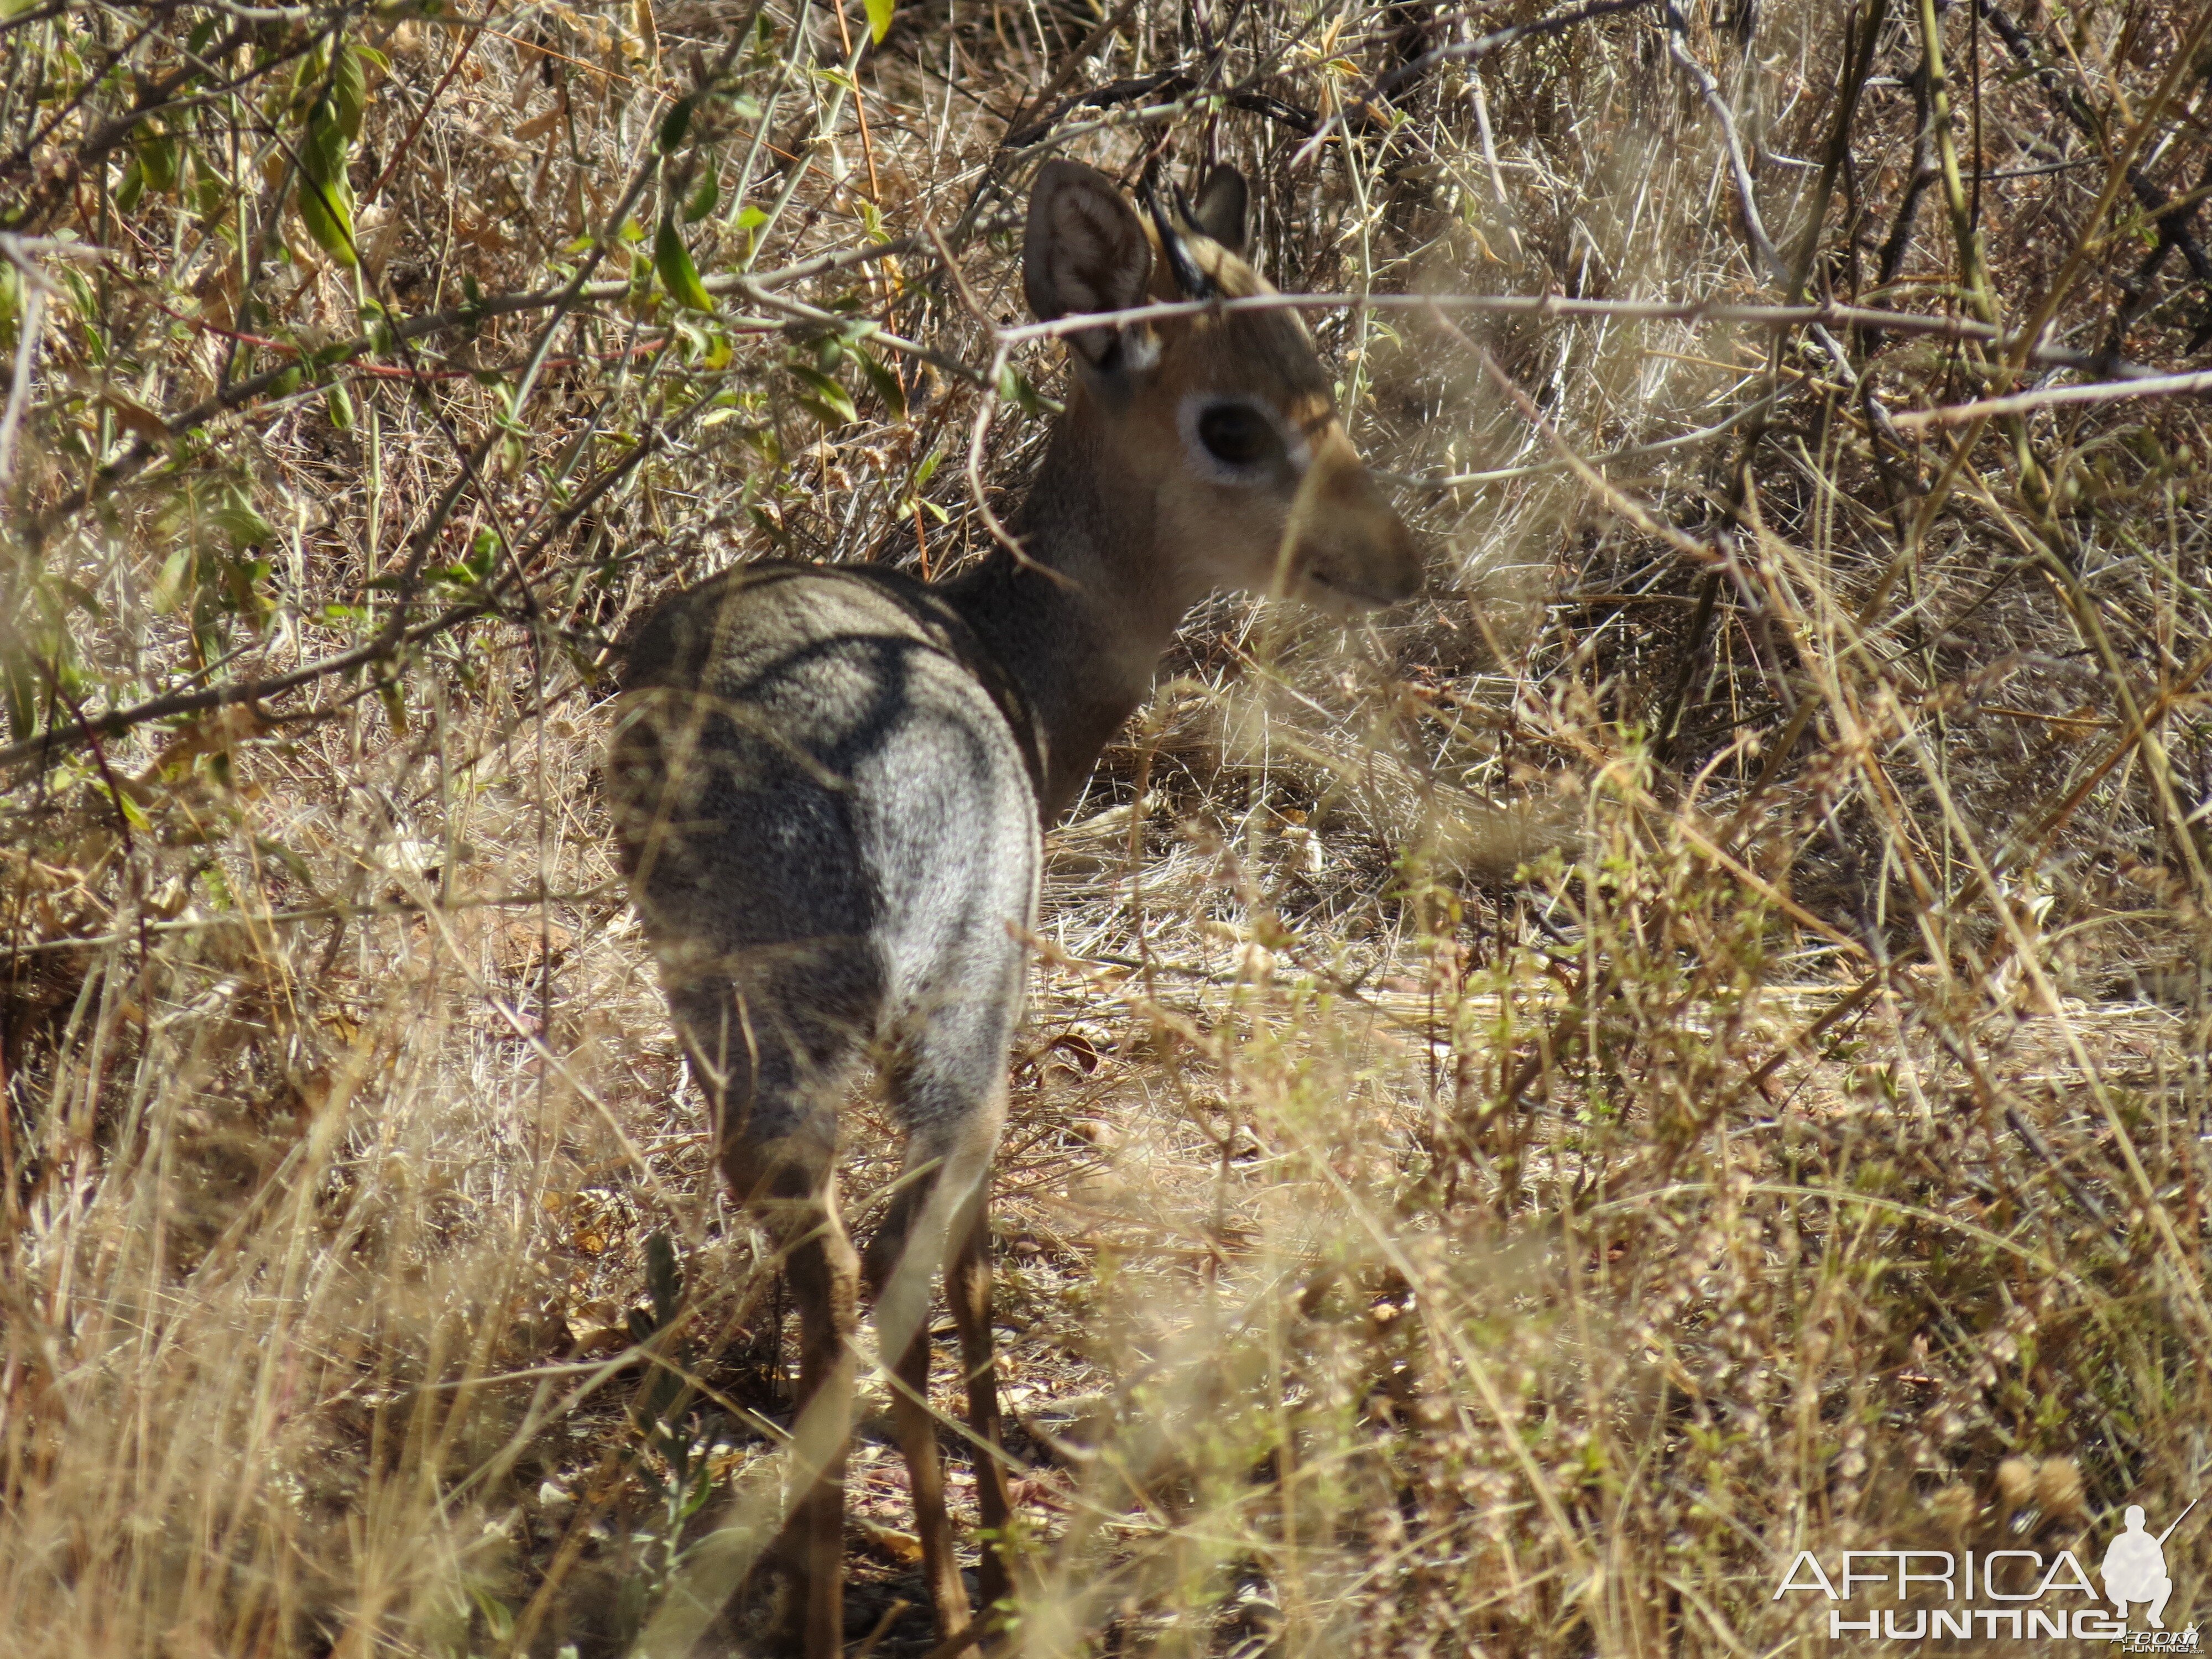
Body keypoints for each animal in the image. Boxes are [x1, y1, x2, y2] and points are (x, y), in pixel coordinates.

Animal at [611, 159, 1416, 1659]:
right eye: (1232, 420)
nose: (1396, 560)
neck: (1016, 649)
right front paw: (990, 1561)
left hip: (753, 1058)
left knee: (822, 1261)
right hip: (952, 1042)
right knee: (907, 1248)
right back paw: (953, 1583)